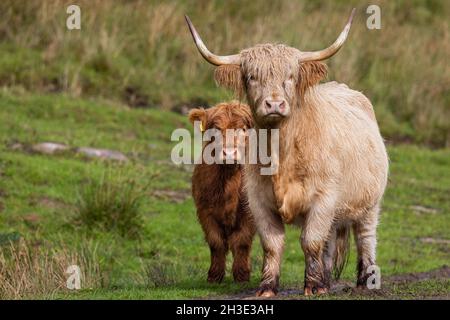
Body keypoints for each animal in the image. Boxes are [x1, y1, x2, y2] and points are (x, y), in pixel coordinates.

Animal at [188, 100, 255, 282]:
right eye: (217, 128)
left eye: (242, 128)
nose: (230, 154)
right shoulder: (204, 211)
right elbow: (216, 242)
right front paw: (214, 276)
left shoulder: (249, 213)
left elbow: (242, 241)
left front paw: (242, 275)